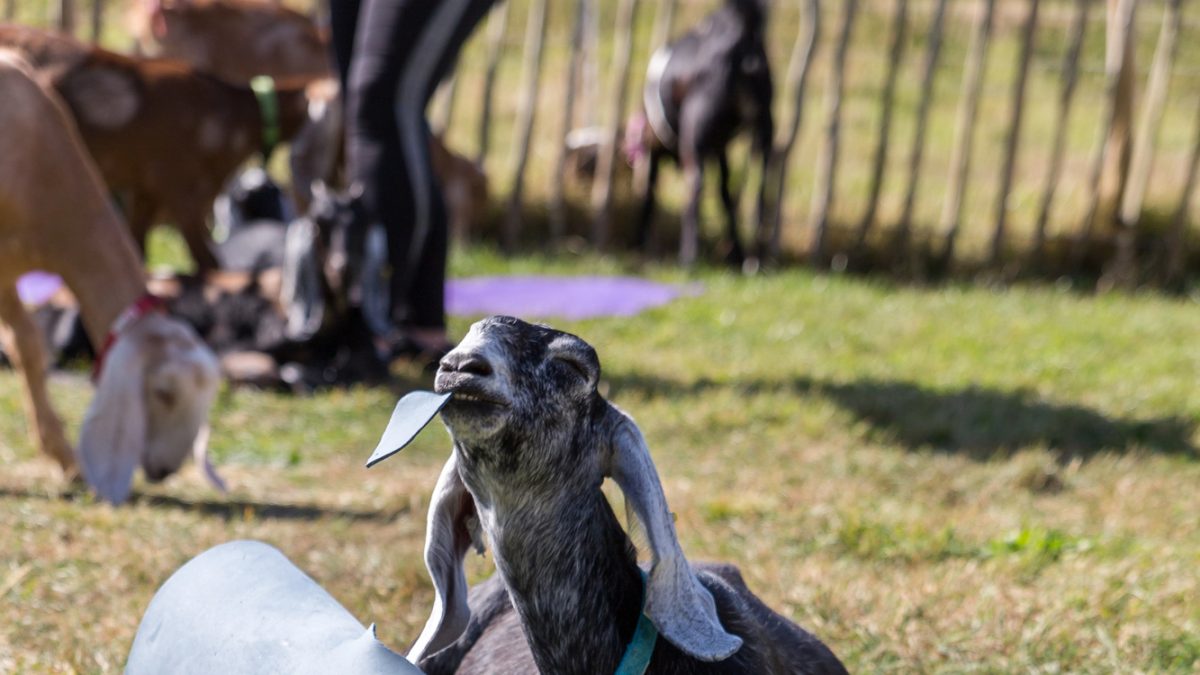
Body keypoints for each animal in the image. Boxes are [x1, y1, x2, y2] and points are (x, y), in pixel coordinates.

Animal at [625, 0, 774, 267]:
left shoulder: (655, 153)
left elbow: (648, 197)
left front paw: (642, 243)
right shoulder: (720, 147)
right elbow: (725, 193)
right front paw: (735, 252)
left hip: (694, 131)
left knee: (694, 183)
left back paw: (688, 256)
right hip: (764, 127)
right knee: (760, 187)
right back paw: (755, 257)